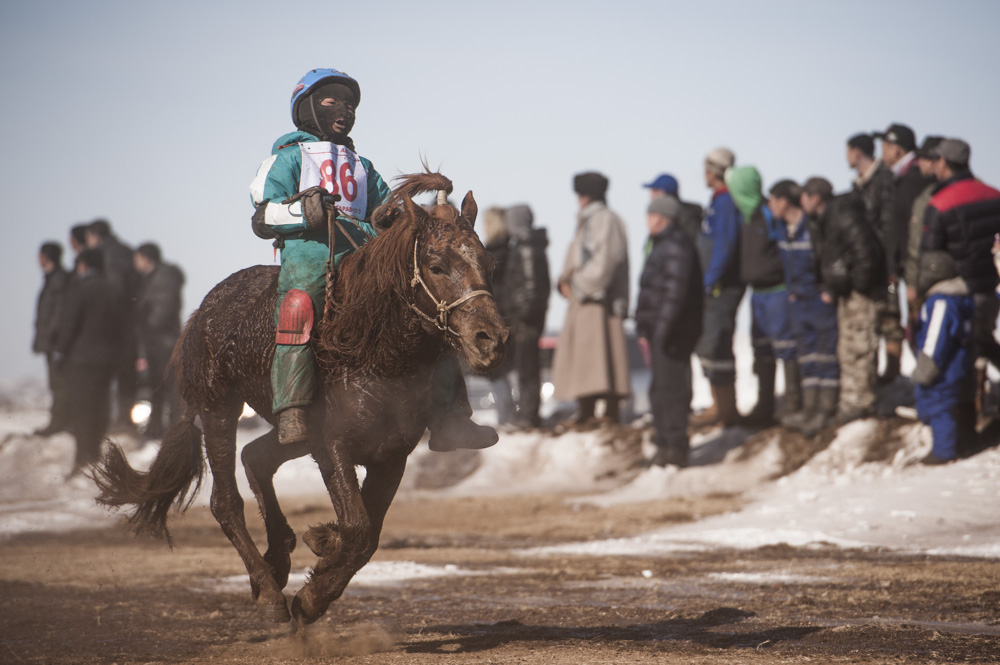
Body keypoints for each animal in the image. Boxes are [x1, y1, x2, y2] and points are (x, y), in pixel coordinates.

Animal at [91, 171, 508, 625]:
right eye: (436, 266)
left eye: (489, 264)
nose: (490, 338)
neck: (375, 351)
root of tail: (200, 314)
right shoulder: (331, 446)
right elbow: (357, 528)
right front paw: (314, 577)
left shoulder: (391, 455)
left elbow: (367, 535)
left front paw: (319, 571)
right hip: (219, 407)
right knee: (225, 501)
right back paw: (269, 591)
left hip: (287, 431)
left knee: (256, 457)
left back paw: (278, 556)